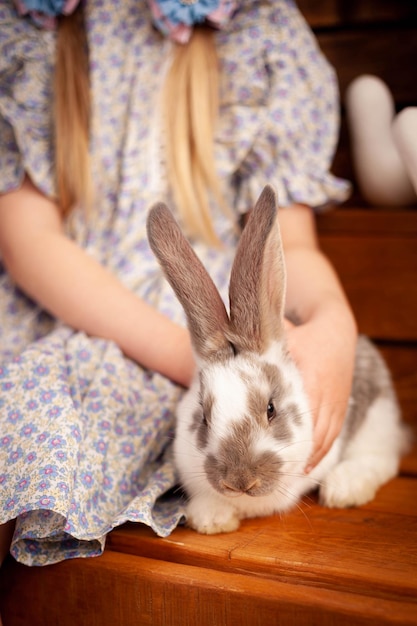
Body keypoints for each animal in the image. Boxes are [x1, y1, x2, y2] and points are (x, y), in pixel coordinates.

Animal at [145, 182, 406, 532]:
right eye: (204, 418)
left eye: (271, 409)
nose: (240, 481)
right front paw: (212, 519)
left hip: (377, 420)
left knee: (381, 458)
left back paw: (344, 488)